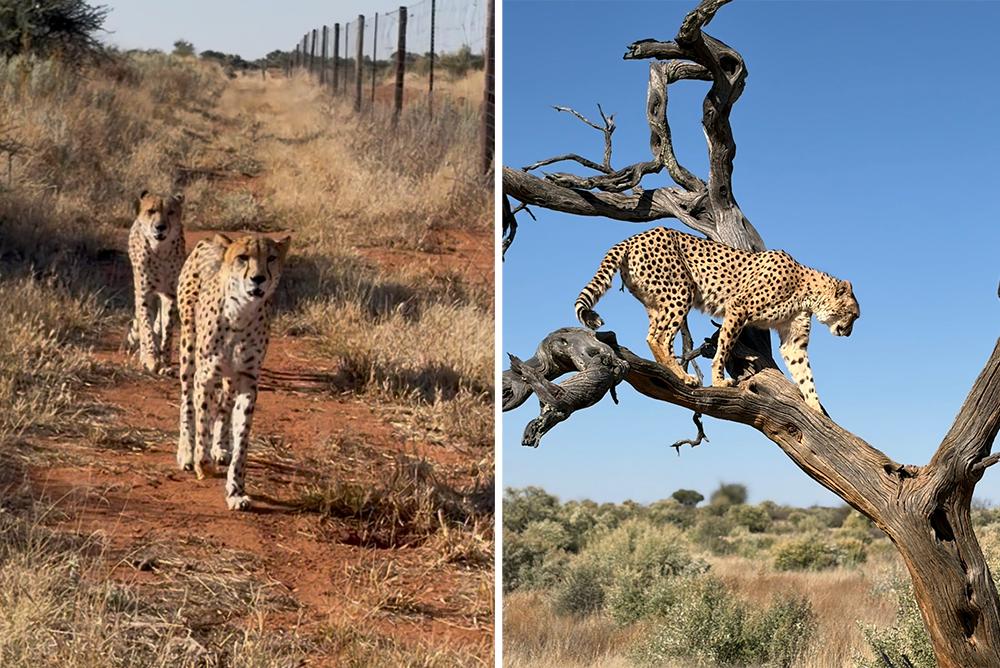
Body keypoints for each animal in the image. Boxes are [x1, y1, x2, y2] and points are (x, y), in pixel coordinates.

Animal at [127, 190, 186, 374]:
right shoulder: (145, 294)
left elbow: (167, 329)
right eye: (151, 211)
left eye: (171, 212)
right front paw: (151, 359)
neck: (160, 250)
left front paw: (165, 362)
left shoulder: (169, 295)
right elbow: (147, 327)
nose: (160, 226)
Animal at [175, 232, 291, 510]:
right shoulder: (205, 376)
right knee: (187, 401)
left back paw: (220, 448)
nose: (258, 278)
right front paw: (202, 462)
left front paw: (236, 490)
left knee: (224, 406)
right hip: (188, 346)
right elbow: (202, 422)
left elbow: (242, 437)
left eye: (271, 258)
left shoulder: (248, 380)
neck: (241, 314)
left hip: (230, 377)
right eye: (243, 257)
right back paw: (186, 452)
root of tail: (211, 239)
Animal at [574, 227, 859, 413]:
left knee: (653, 335)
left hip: (657, 301)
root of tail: (633, 237)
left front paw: (815, 407)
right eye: (854, 315)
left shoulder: (792, 340)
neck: (806, 288)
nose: (848, 332)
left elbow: (804, 373)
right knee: (659, 337)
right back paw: (683, 375)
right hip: (681, 291)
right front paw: (720, 380)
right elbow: (724, 348)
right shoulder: (738, 308)